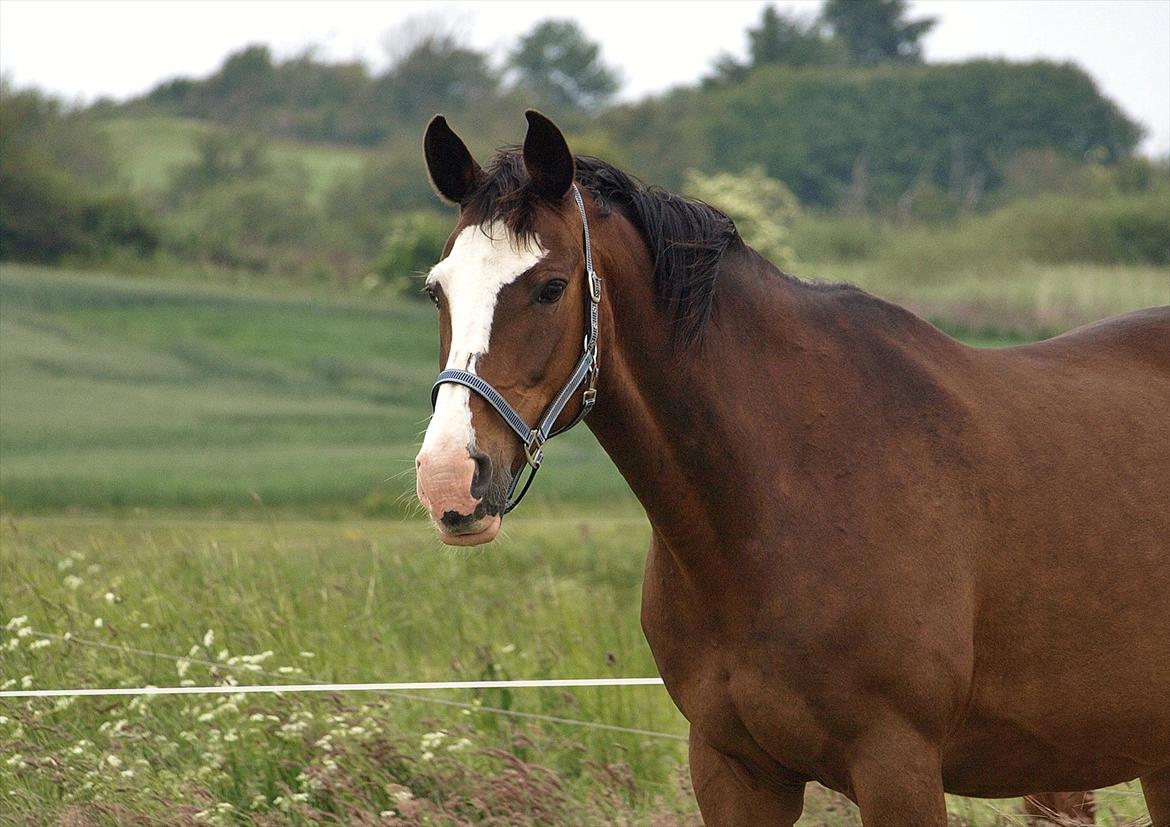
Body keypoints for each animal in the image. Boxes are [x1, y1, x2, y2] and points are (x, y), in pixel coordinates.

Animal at [414, 111, 1170, 827]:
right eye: (436, 290)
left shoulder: (898, 765)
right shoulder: (734, 770)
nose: (448, 478)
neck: (781, 491)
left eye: (550, 287)